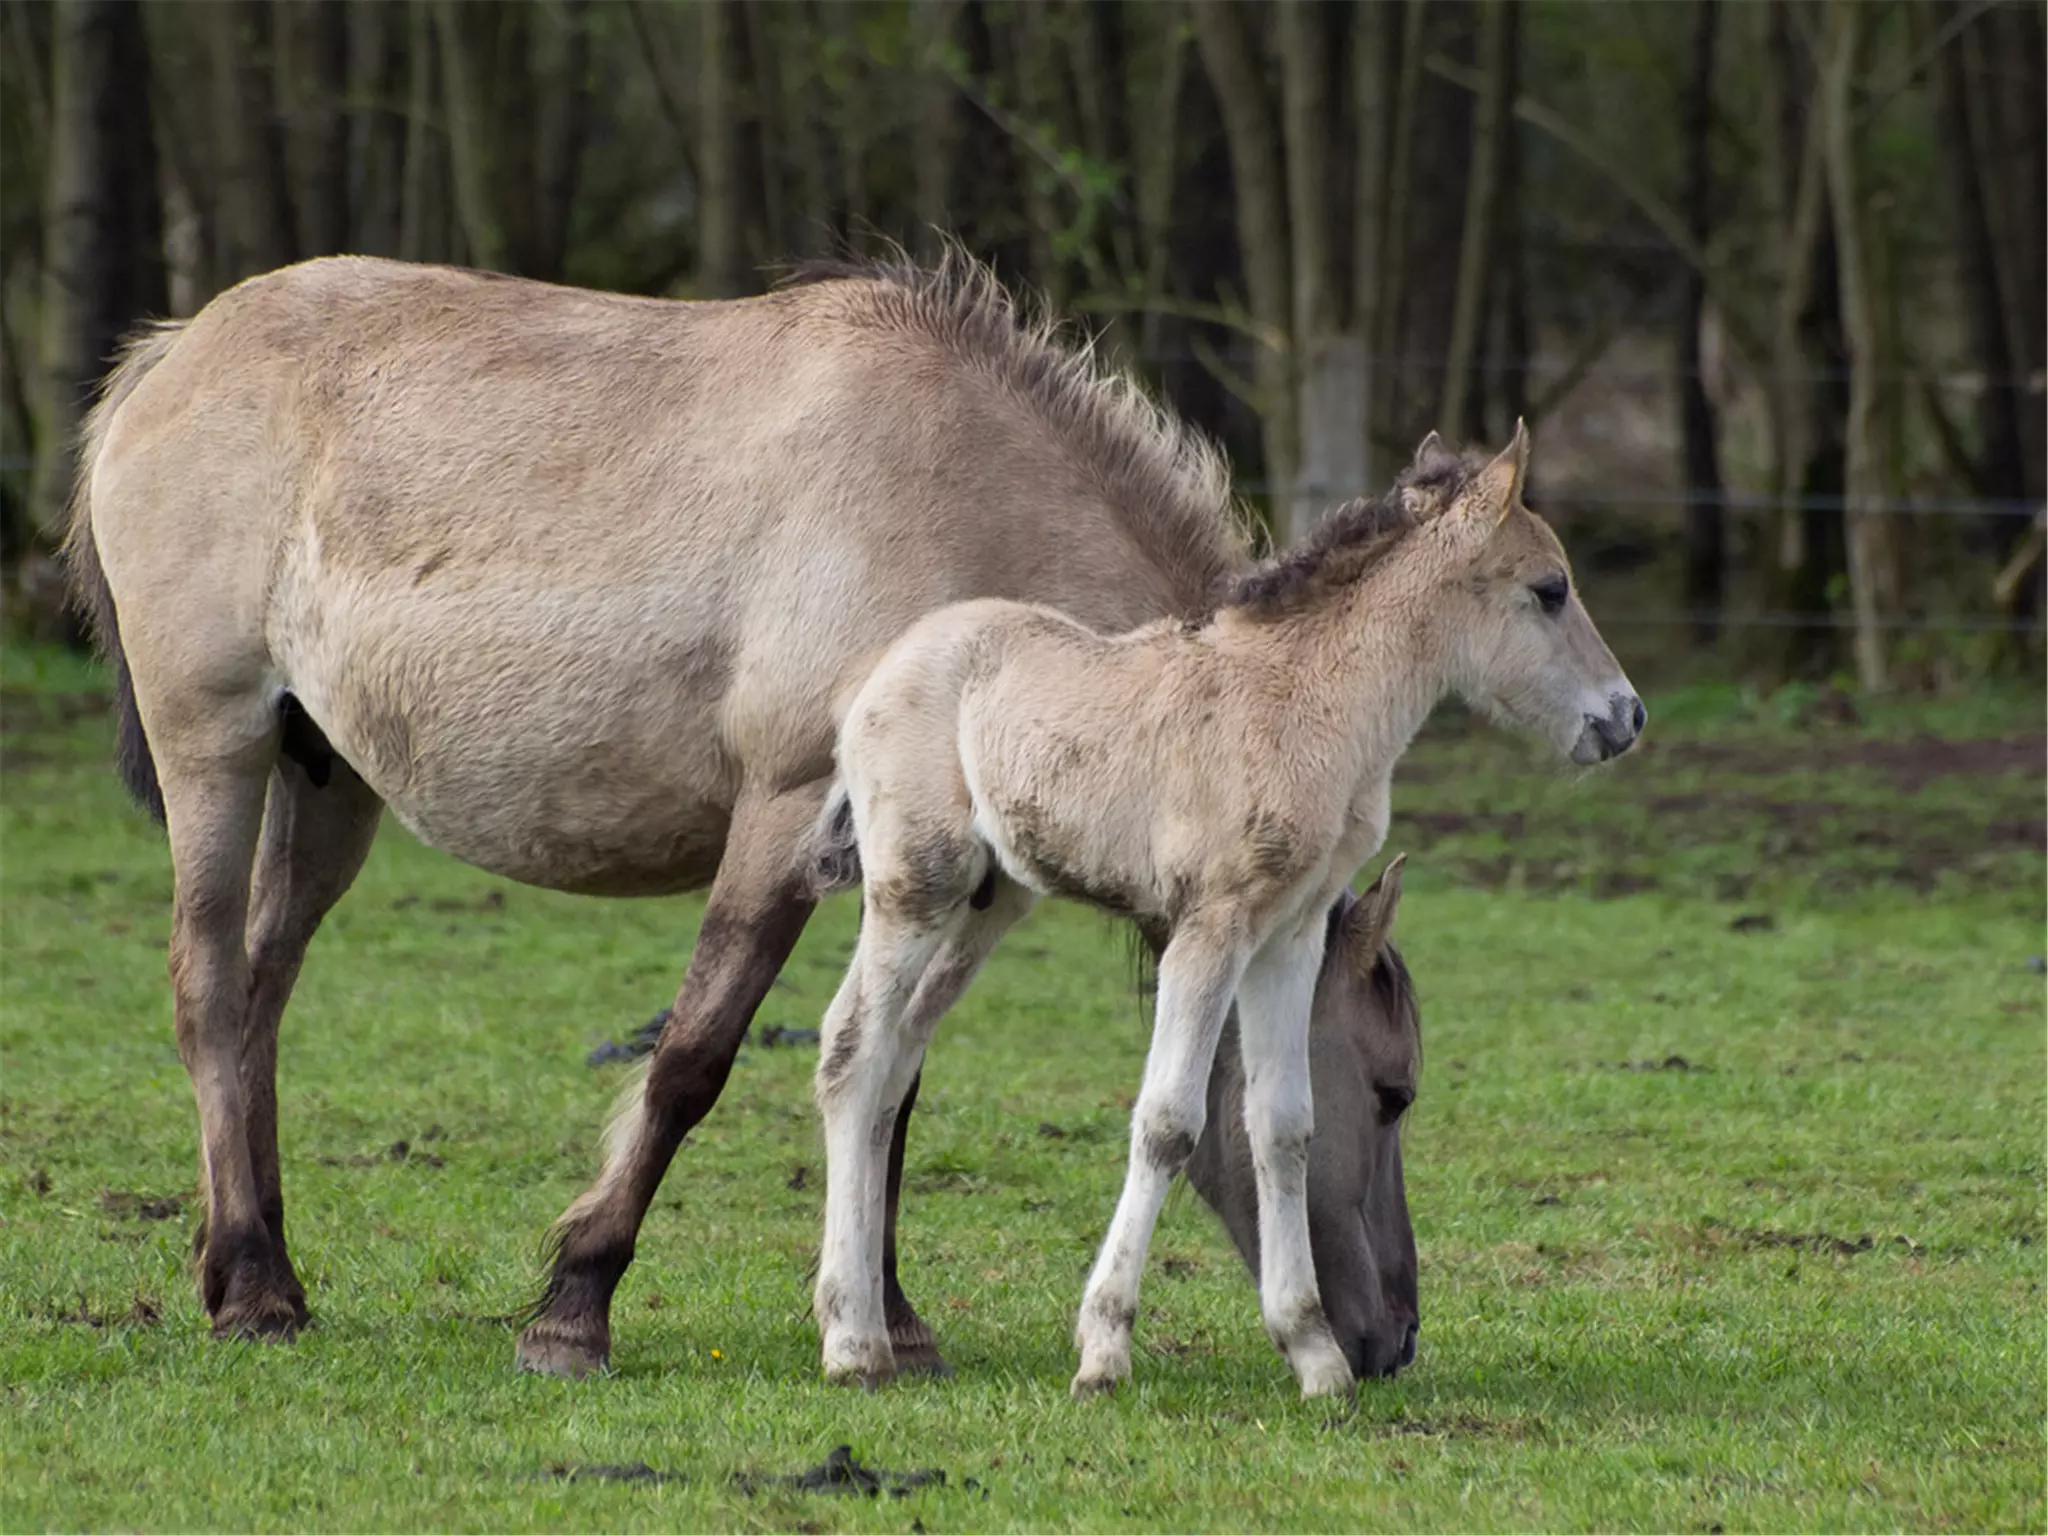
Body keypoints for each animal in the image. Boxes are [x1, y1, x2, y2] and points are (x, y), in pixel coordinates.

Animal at [68, 252, 1425, 1384]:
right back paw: (253, 1292)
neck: (957, 505)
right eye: (1390, 1090)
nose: (1391, 1339)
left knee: (263, 992)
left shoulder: (942, 874)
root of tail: (170, 356)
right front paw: (575, 1306)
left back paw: (253, 1267)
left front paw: (889, 1320)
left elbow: (891, 1083)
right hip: (216, 746)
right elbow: (694, 1060)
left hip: (326, 781)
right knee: (209, 986)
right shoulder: (779, 822)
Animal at [806, 428, 1638, 1400]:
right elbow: (1169, 1121)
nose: (1626, 715)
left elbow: (1282, 1125)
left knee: (893, 1066)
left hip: (988, 899)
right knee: (851, 1051)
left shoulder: (1288, 938)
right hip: (915, 885)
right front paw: (1103, 1350)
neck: (1308, 700)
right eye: (1549, 590)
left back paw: (870, 1330)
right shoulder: (1210, 929)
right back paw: (850, 1341)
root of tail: (881, 673)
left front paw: (1314, 1355)